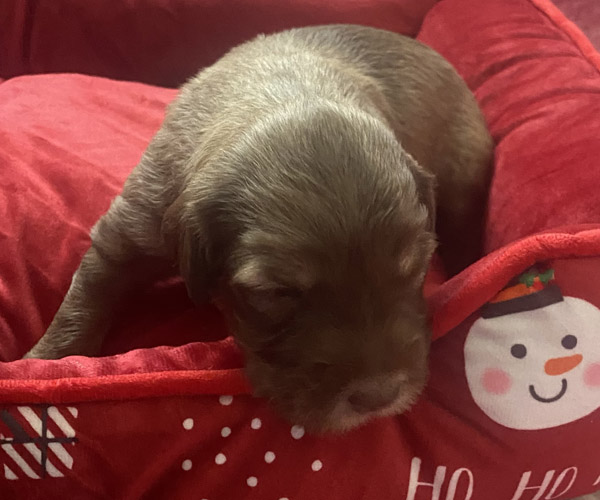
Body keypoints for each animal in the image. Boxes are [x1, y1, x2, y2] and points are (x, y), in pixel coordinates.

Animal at [24, 25, 493, 433]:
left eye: (414, 267)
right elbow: (87, 295)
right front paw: (46, 361)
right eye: (276, 293)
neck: (282, 93)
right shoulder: (133, 227)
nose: (378, 397)